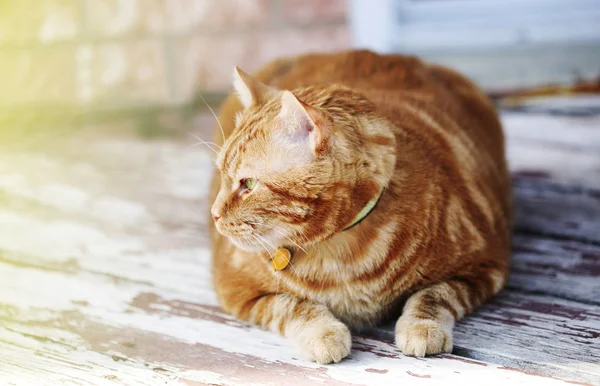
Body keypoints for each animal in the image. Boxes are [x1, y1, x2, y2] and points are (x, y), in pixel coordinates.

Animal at [207, 49, 510, 364]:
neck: (343, 259)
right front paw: (325, 333)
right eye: (222, 175)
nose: (214, 214)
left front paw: (422, 326)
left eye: (249, 184)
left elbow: (436, 295)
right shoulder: (236, 288)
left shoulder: (485, 265)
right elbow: (292, 306)